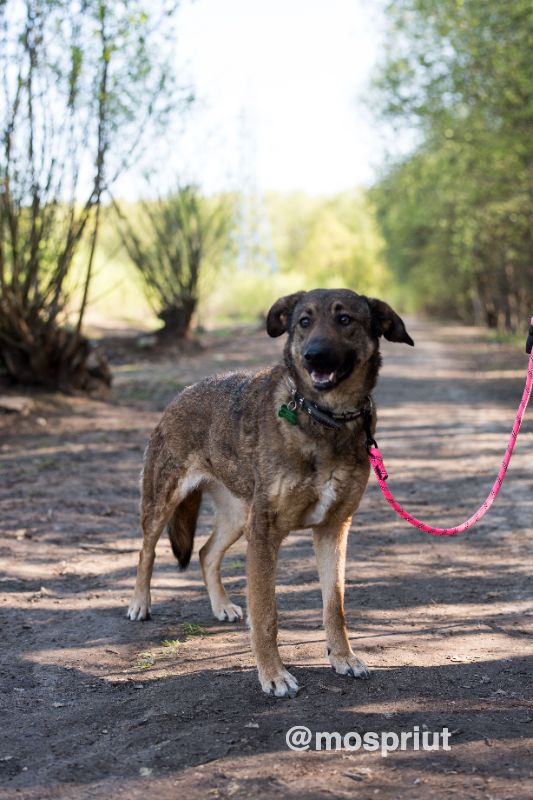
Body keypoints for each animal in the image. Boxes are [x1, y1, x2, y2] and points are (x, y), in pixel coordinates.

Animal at [127, 288, 414, 692]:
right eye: (304, 322)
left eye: (344, 319)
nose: (313, 355)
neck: (325, 419)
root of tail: (181, 394)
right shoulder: (265, 534)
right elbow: (266, 615)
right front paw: (273, 674)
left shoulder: (333, 530)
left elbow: (334, 606)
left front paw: (343, 657)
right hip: (163, 501)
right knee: (146, 551)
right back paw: (140, 603)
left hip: (238, 517)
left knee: (205, 552)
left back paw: (221, 605)